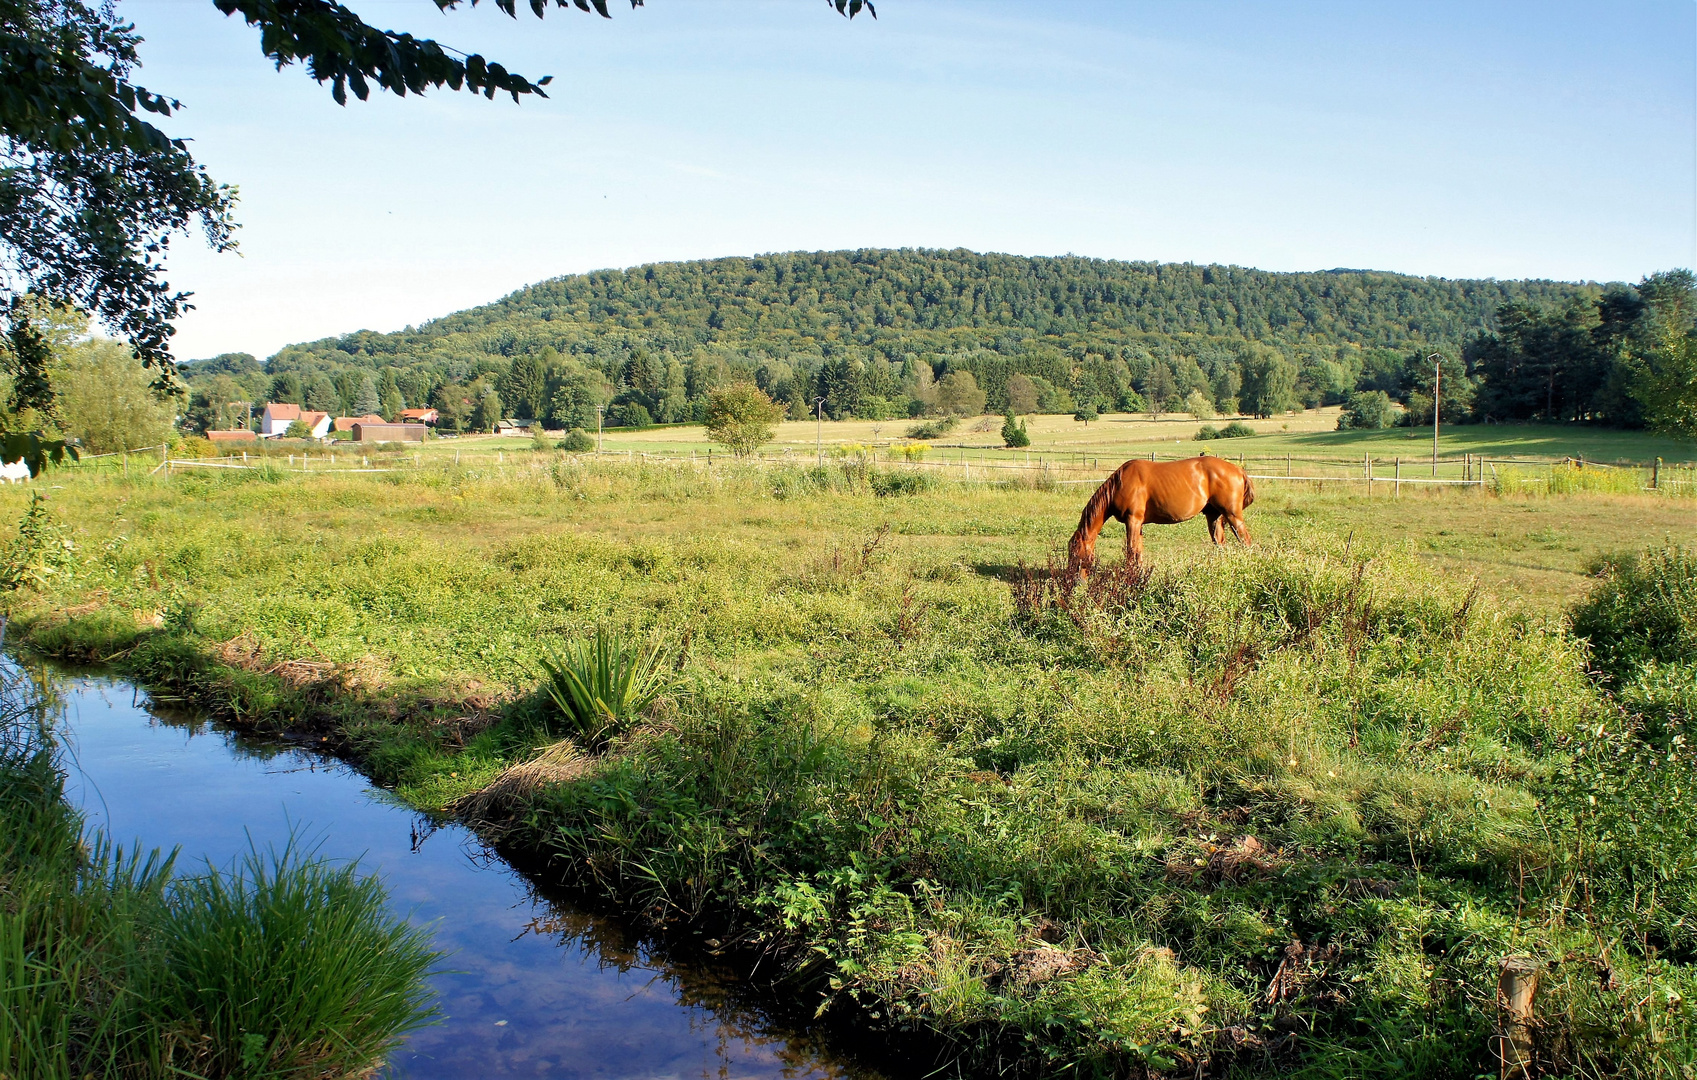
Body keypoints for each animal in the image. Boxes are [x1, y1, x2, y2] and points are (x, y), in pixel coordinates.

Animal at [1065, 451, 1255, 570]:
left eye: (1074, 553)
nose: (1073, 579)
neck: (1120, 484)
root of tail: (1238, 470)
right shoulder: (1138, 524)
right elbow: (1138, 552)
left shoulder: (1132, 520)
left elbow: (1131, 551)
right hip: (1214, 516)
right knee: (1221, 544)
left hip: (1232, 515)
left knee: (1246, 541)